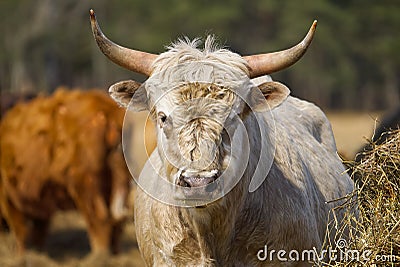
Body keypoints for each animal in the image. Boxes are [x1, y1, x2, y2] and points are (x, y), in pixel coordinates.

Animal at [0, 88, 130, 255]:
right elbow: (37, 233)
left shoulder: (7, 197)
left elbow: (21, 232)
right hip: (117, 177)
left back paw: (100, 256)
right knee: (116, 221)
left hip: (85, 181)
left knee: (99, 219)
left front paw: (22, 256)